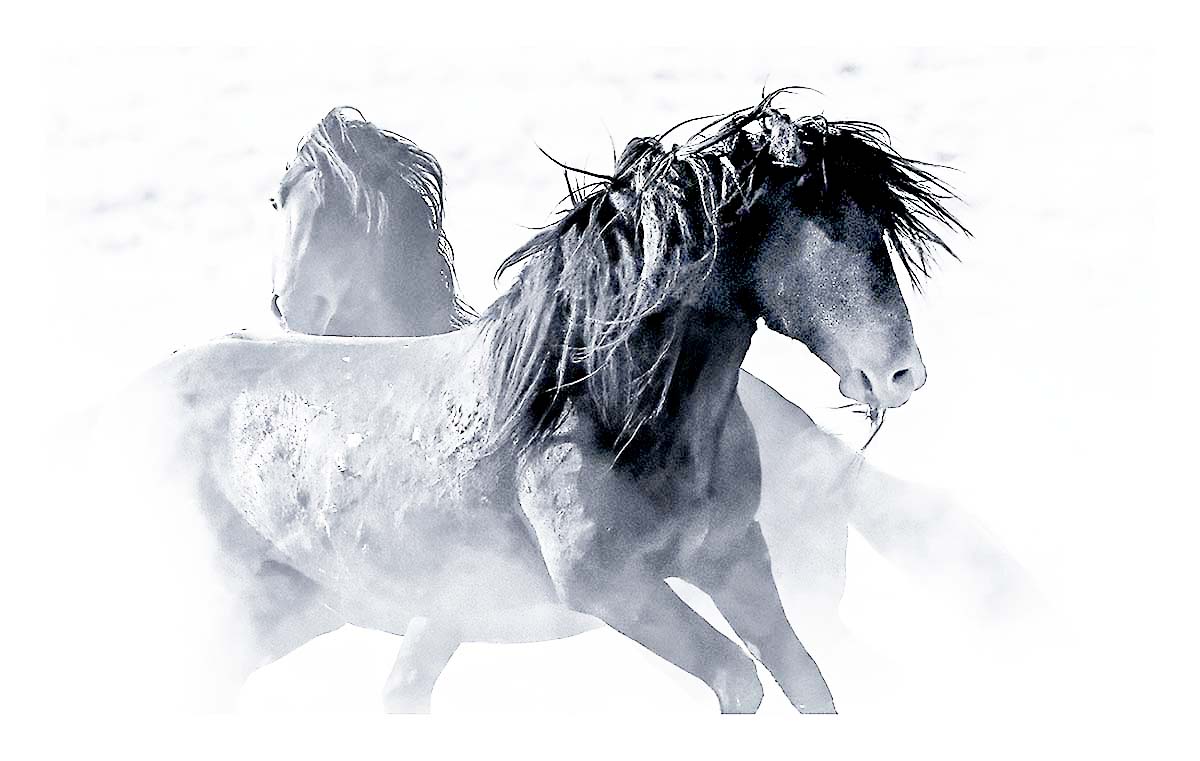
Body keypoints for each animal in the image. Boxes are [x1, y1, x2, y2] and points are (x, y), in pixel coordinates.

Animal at [139, 91, 964, 714]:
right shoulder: (606, 591)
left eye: (876, 229)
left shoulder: (735, 560)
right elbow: (740, 679)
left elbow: (803, 681)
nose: (898, 373)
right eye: (819, 225)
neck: (603, 412)